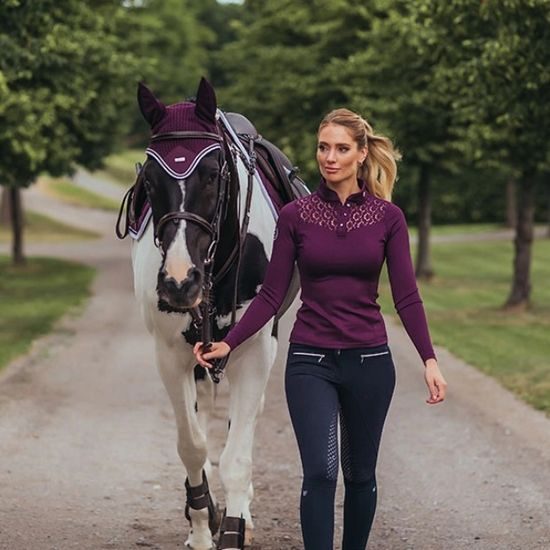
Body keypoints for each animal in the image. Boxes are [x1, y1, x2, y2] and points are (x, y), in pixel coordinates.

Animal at [117, 78, 308, 550]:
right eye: (149, 180)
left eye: (212, 172)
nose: (179, 281)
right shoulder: (170, 355)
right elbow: (193, 445)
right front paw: (203, 523)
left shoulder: (255, 351)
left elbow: (236, 454)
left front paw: (235, 526)